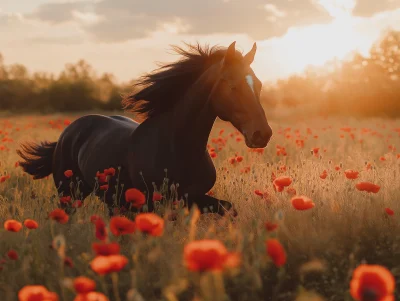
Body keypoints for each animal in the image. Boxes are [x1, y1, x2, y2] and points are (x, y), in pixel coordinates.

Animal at [15, 41, 272, 217]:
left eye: (259, 85)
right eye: (232, 86)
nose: (262, 134)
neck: (177, 146)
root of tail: (68, 132)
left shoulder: (192, 197)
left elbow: (229, 210)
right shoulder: (156, 202)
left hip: (111, 200)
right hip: (69, 193)